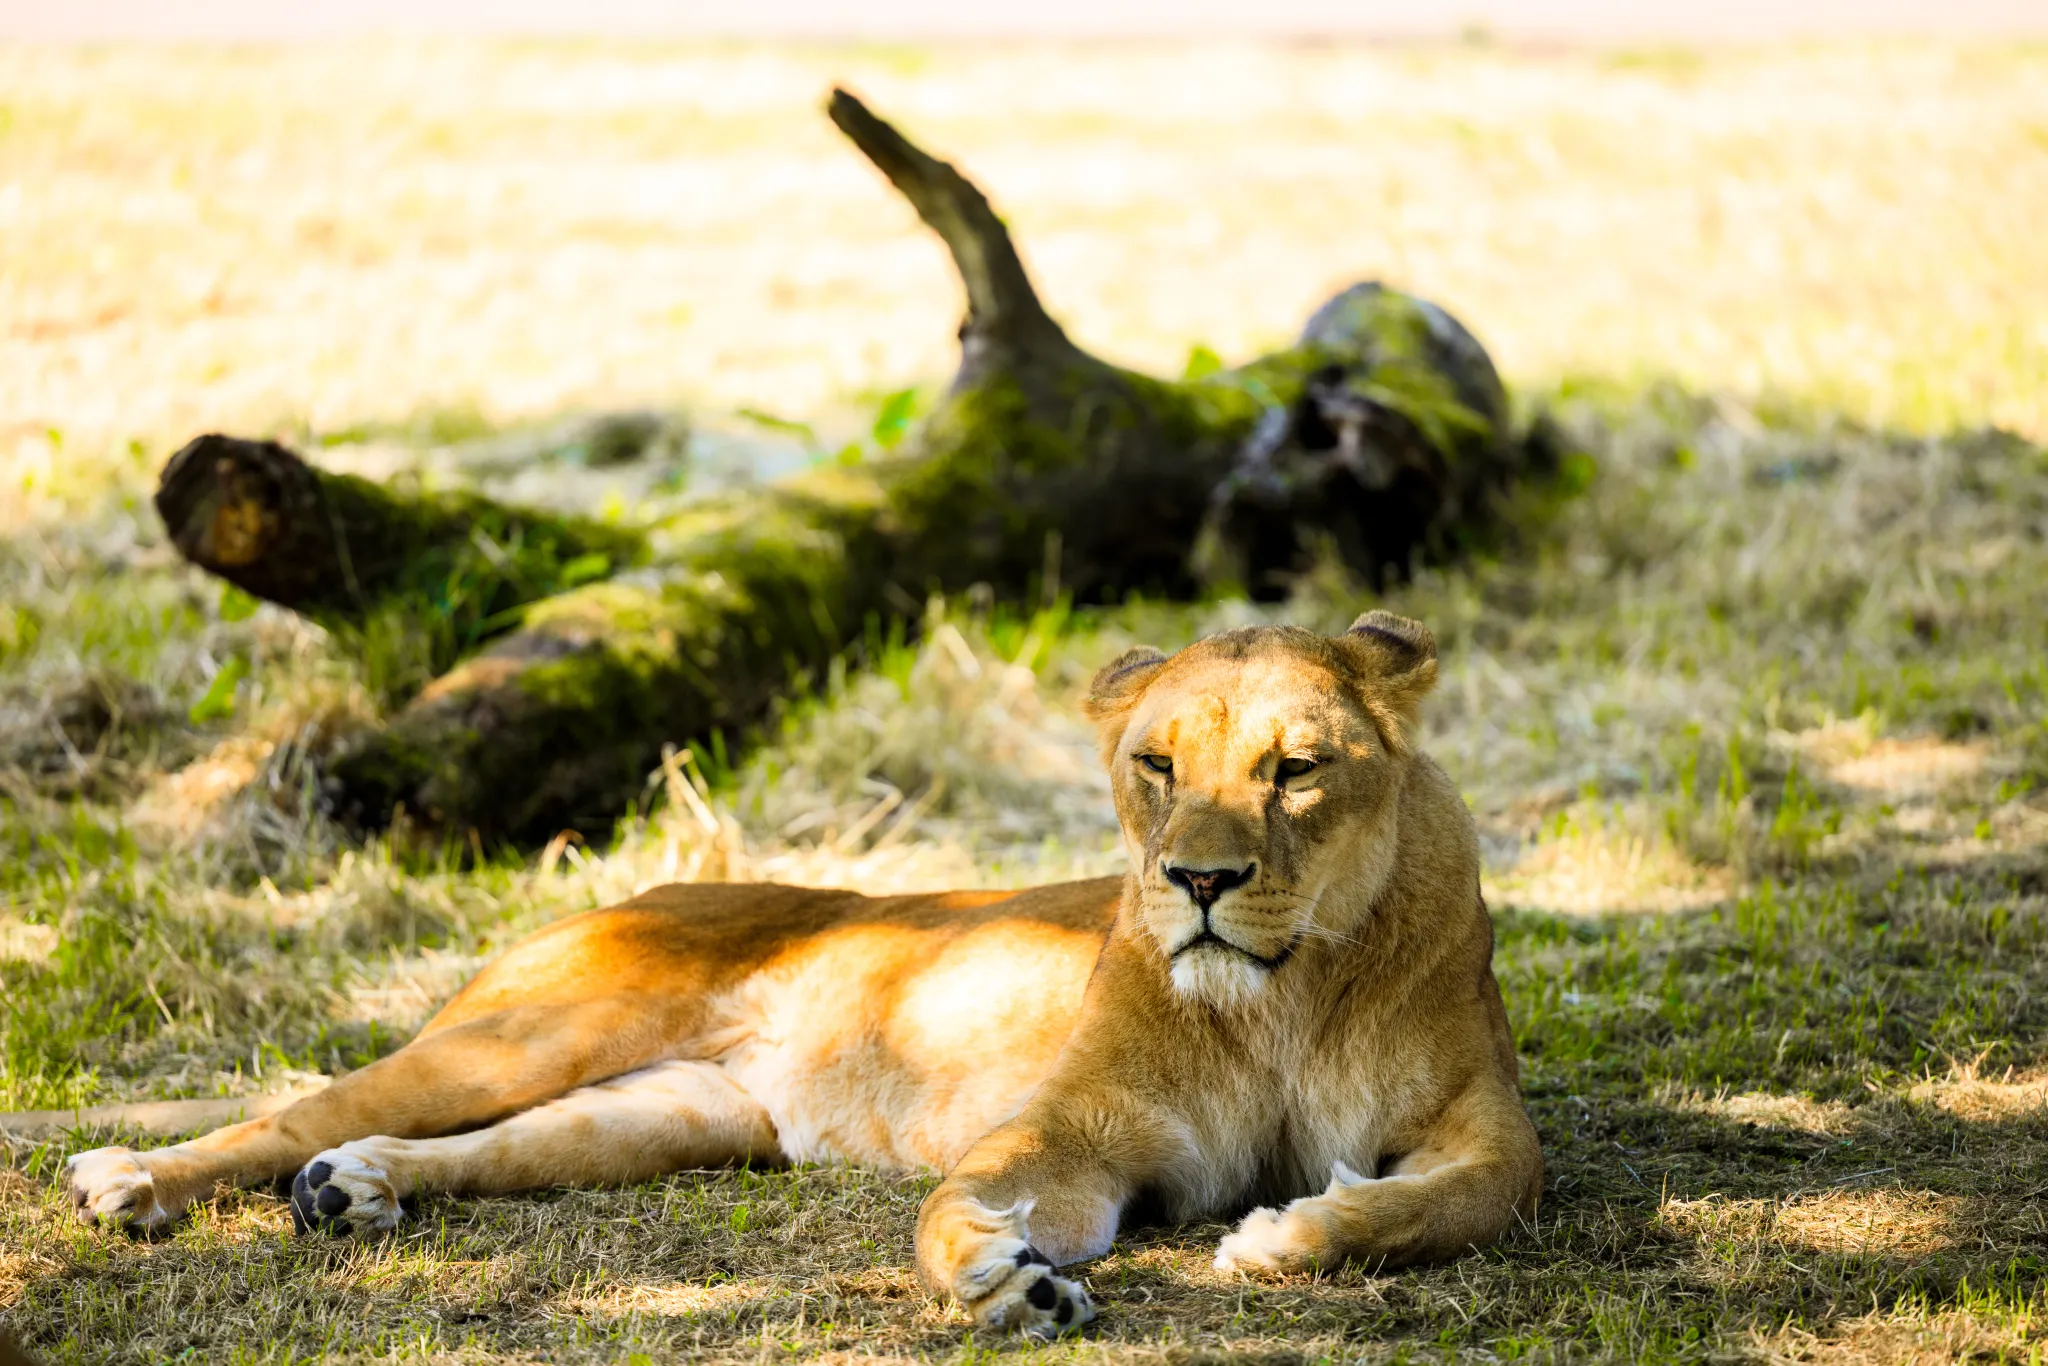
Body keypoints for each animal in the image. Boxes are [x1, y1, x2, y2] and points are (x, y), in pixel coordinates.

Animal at [66, 611, 1542, 1336]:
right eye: (1156, 765)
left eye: (1295, 768)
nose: (1197, 882)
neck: (1280, 994)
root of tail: (642, 890)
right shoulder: (1077, 1137)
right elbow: (953, 1206)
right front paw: (1001, 1278)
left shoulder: (1489, 1130)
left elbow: (1453, 1200)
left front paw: (1291, 1233)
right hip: (526, 1034)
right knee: (295, 1111)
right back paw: (133, 1180)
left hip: (657, 1119)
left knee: (459, 1145)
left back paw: (353, 1189)